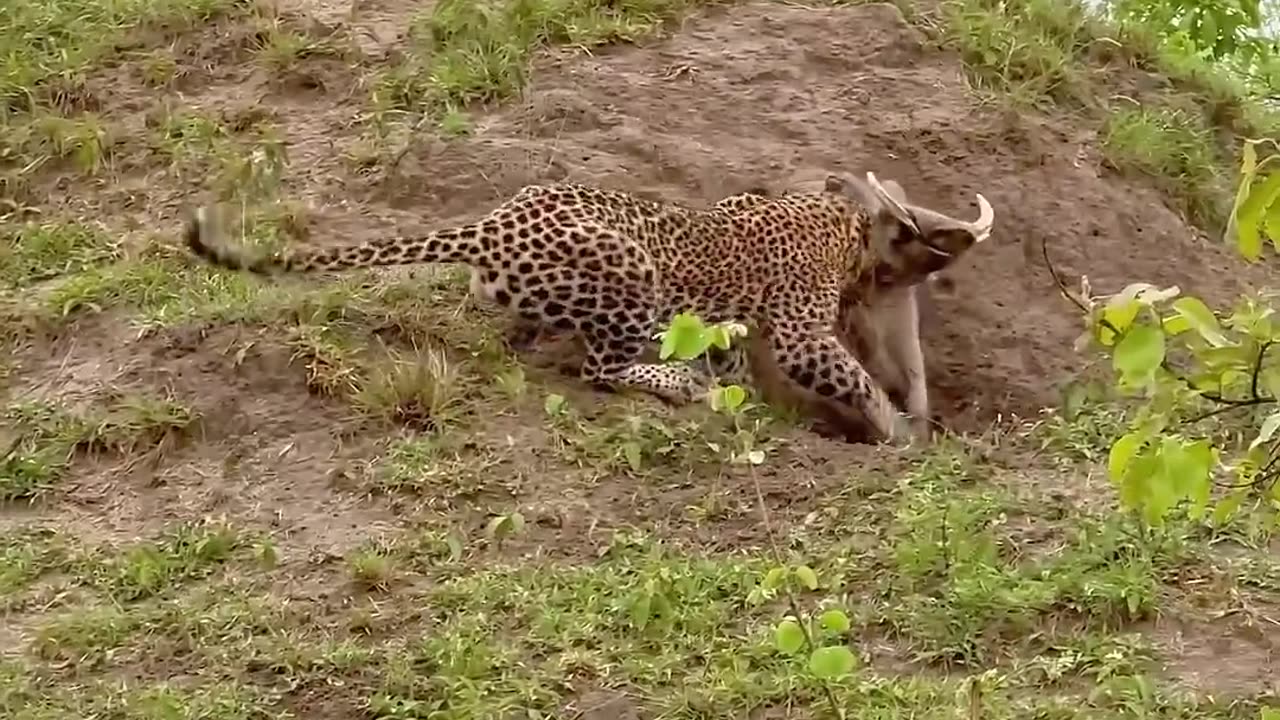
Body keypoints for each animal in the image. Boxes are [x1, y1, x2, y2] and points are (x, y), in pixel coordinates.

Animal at [182, 174, 993, 444]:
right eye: (918, 243)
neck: (846, 225)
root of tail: (490, 224)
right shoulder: (798, 329)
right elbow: (849, 376)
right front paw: (898, 434)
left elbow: (734, 353)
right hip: (628, 267)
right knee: (603, 369)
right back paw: (681, 387)